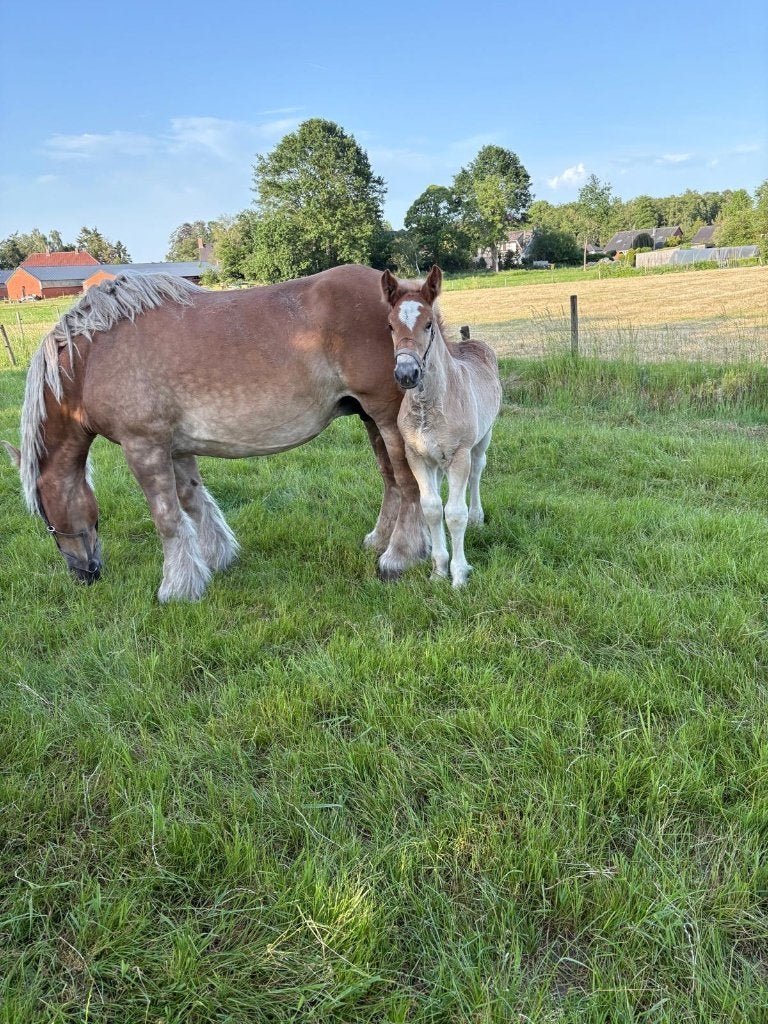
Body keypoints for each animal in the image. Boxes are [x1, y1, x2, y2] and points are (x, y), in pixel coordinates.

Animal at [3, 266, 429, 601]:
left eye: (45, 518)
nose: (83, 574)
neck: (94, 357)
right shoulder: (174, 448)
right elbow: (194, 501)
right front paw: (216, 559)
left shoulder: (144, 447)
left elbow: (167, 518)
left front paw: (176, 589)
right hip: (370, 419)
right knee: (391, 482)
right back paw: (382, 541)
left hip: (387, 418)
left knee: (408, 484)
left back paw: (398, 557)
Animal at [381, 265, 502, 587]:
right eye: (390, 326)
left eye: (428, 324)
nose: (407, 373)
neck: (429, 405)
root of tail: (472, 341)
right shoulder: (417, 456)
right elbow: (433, 509)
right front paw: (438, 570)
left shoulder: (459, 454)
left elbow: (456, 513)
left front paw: (459, 575)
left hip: (483, 437)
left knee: (477, 471)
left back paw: (478, 517)